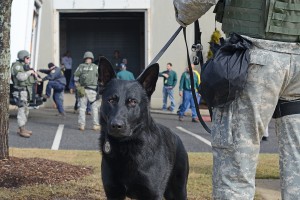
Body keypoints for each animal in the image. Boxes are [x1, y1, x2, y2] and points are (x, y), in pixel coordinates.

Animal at [97, 57, 189, 199]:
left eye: (133, 102)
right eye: (111, 100)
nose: (116, 126)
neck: (126, 147)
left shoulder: (153, 194)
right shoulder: (113, 193)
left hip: (178, 191)